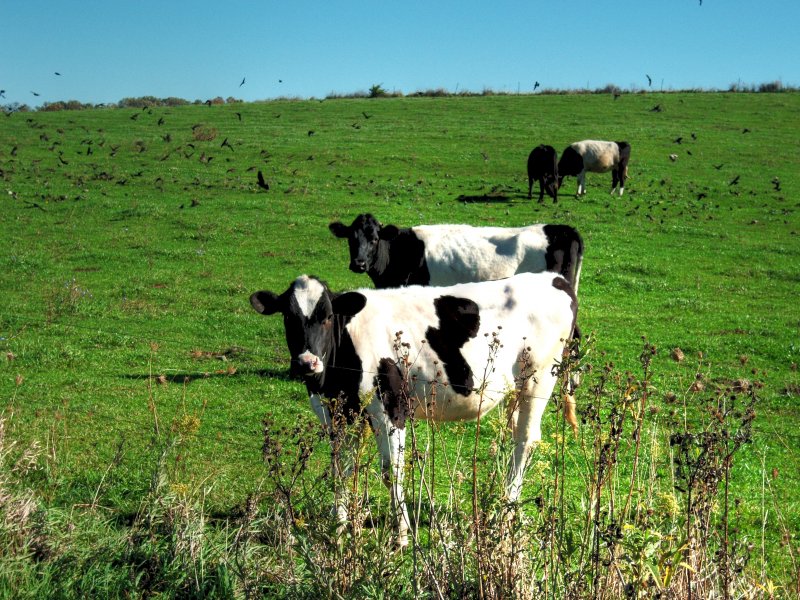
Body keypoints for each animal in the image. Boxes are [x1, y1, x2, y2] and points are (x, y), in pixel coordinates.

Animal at [248, 272, 576, 548]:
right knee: (515, 437)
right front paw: (339, 529)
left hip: (538, 378)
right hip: (516, 391)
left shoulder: (391, 407)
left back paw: (505, 514)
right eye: (288, 317)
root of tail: (553, 278)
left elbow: (391, 471)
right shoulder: (335, 413)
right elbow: (341, 467)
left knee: (525, 441)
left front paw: (402, 535)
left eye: (328, 316)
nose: (307, 362)